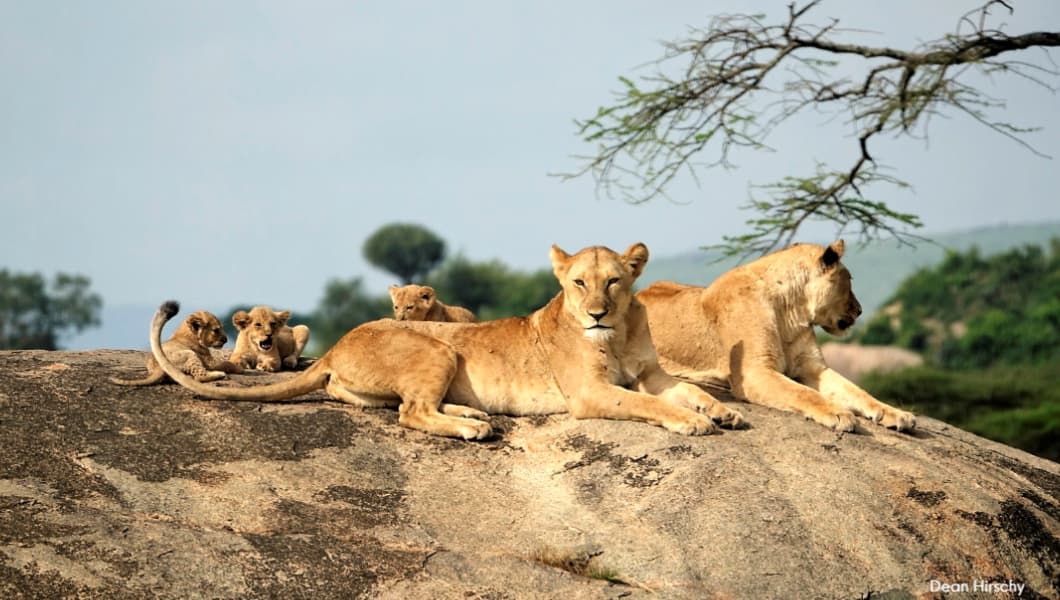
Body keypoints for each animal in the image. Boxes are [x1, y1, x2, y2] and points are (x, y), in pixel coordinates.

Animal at [110, 310, 242, 386]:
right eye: (216, 330)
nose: (226, 339)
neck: (186, 333)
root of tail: (159, 366)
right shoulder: (209, 362)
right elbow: (226, 363)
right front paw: (240, 369)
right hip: (189, 354)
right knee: (200, 376)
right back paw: (219, 374)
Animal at [147, 243, 745, 439]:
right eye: (579, 283)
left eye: (614, 281)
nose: (596, 311)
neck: (617, 333)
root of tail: (337, 345)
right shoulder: (590, 394)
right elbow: (648, 406)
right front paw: (692, 422)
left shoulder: (654, 374)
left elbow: (690, 391)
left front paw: (725, 412)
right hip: (438, 347)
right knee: (411, 413)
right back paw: (471, 429)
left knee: (411, 407)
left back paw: (473, 416)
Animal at [637, 240, 916, 432]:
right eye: (850, 280)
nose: (860, 310)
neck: (791, 312)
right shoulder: (754, 372)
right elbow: (804, 393)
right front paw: (837, 413)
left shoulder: (814, 367)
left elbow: (857, 391)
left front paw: (897, 414)